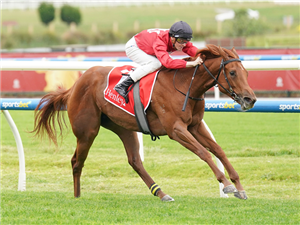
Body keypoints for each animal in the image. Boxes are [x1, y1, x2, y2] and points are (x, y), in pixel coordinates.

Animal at [33, 44, 258, 202]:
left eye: (246, 72)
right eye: (232, 72)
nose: (251, 99)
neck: (186, 85)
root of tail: (75, 85)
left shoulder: (195, 126)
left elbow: (218, 151)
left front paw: (239, 187)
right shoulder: (176, 129)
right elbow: (204, 152)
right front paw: (227, 184)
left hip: (123, 127)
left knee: (135, 161)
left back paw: (161, 193)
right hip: (87, 130)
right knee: (76, 161)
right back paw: (77, 196)